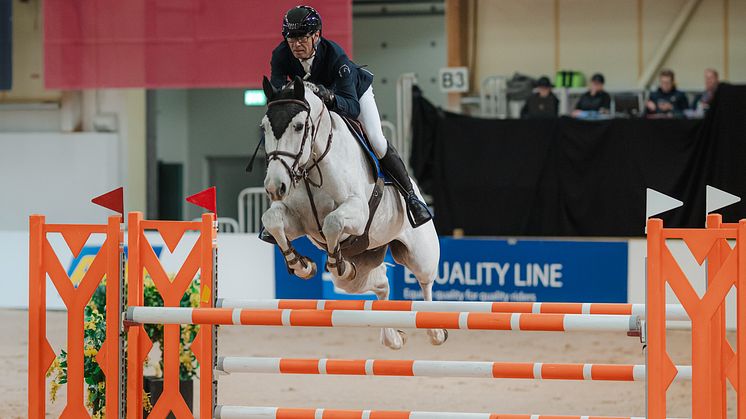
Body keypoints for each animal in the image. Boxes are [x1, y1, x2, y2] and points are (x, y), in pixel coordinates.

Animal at [258, 76, 444, 352]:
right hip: (363, 264)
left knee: (426, 283)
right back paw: (393, 337)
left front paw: (335, 262)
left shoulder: (357, 212)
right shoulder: (299, 221)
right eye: (264, 127)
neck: (313, 165)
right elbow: (272, 220)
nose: (274, 187)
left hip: (421, 254)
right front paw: (302, 264)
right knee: (380, 283)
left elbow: (333, 222)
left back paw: (435, 330)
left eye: (299, 126)